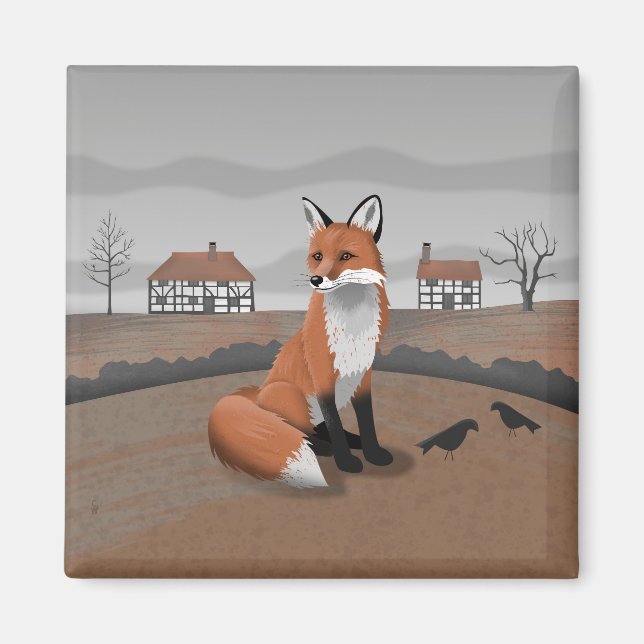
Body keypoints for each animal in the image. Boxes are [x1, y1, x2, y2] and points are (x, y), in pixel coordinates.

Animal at [208, 195, 392, 488]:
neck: (352, 325)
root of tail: (257, 393)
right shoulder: (322, 375)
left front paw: (373, 452)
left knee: (318, 428)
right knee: (301, 431)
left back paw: (352, 441)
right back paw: (325, 448)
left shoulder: (364, 374)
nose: (317, 279)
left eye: (345, 256)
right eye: (318, 256)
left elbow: (367, 422)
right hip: (291, 395)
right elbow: (335, 424)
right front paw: (346, 462)